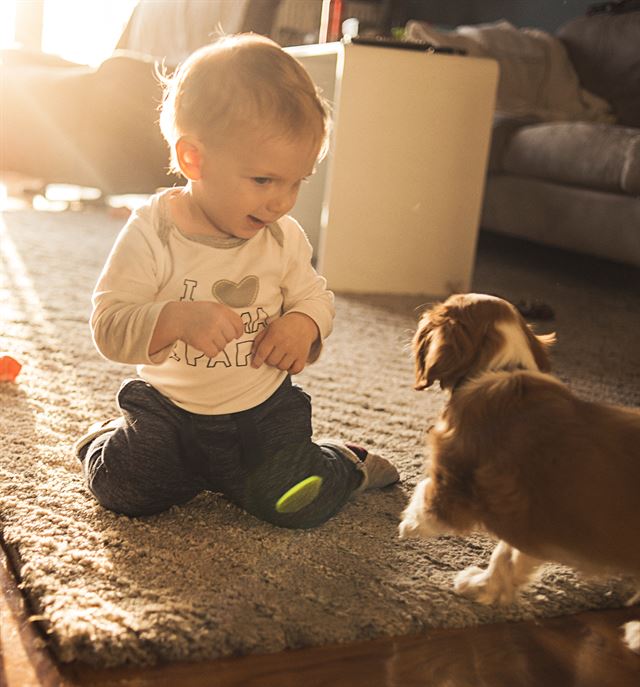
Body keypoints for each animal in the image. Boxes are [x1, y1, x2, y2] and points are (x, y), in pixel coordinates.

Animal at [400, 292, 640, 652]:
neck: (503, 368)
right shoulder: (527, 517)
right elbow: (507, 554)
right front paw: (485, 587)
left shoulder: (455, 477)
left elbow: (426, 494)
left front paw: (409, 524)